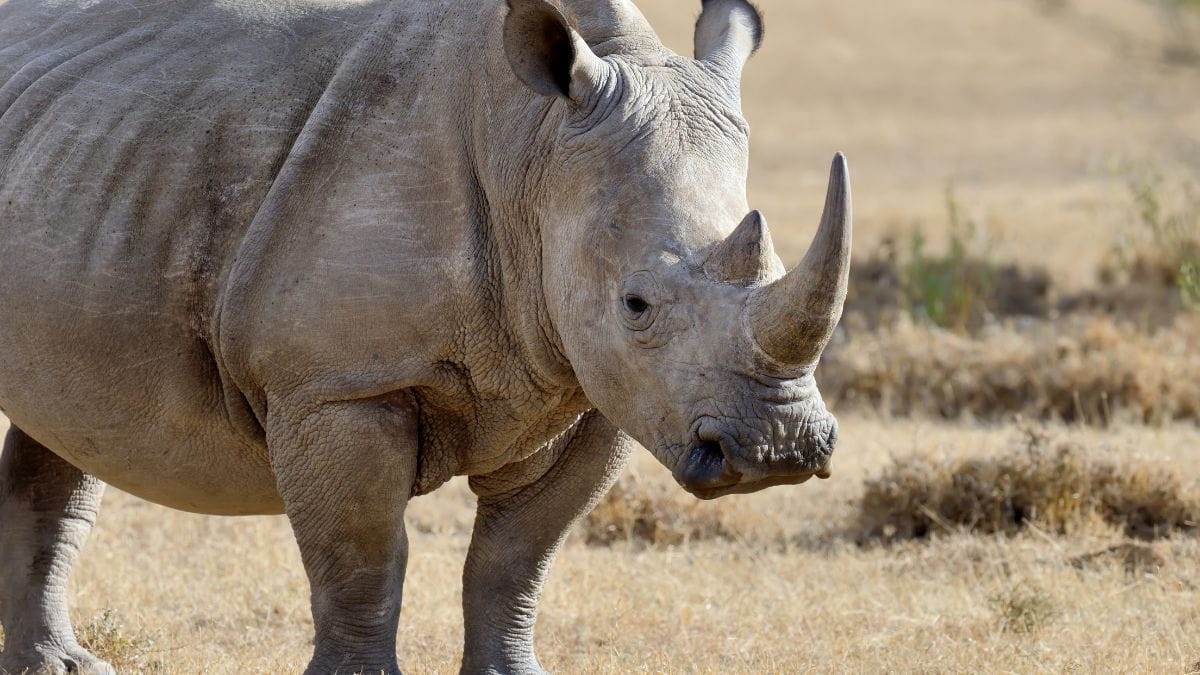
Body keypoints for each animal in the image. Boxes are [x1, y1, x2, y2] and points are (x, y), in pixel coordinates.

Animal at [0, 0, 852, 671]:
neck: (535, 149)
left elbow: (516, 557)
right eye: (636, 304)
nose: (778, 448)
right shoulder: (342, 383)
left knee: (65, 419)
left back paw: (61, 667)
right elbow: (364, 558)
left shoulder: (594, 392)